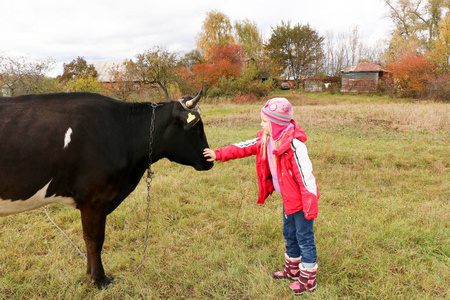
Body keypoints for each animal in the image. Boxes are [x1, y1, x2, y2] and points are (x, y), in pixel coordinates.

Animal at [0, 91, 214, 288]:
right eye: (197, 128)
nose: (210, 160)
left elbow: (87, 239)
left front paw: (90, 274)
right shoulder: (94, 198)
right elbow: (95, 240)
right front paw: (100, 279)